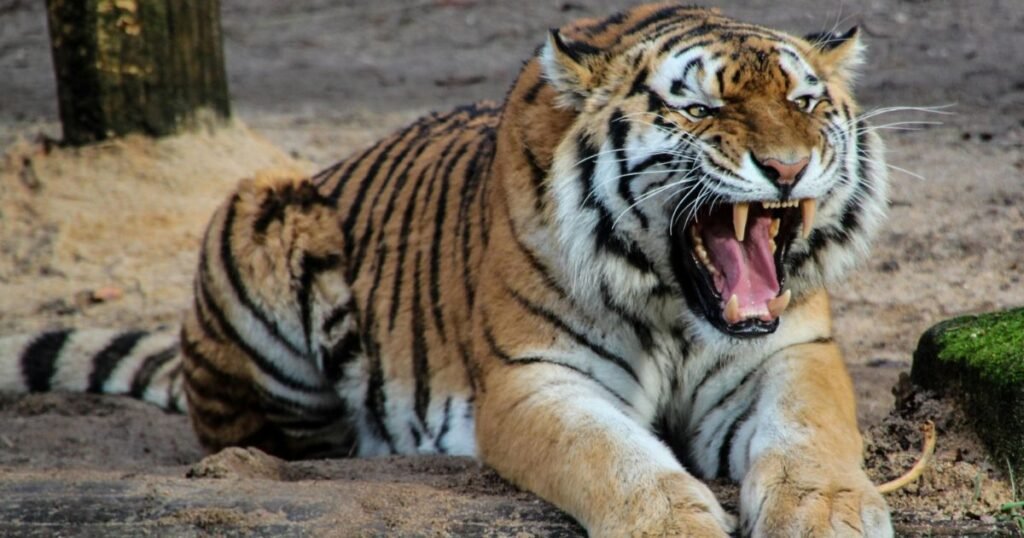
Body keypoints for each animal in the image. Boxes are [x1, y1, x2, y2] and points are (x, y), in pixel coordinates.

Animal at [1, 4, 894, 536]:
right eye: (700, 108)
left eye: (805, 103)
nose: (787, 168)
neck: (677, 306)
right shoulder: (535, 379)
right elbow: (614, 456)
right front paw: (672, 523)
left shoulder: (792, 352)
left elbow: (812, 435)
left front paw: (830, 513)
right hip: (260, 209)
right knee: (263, 436)